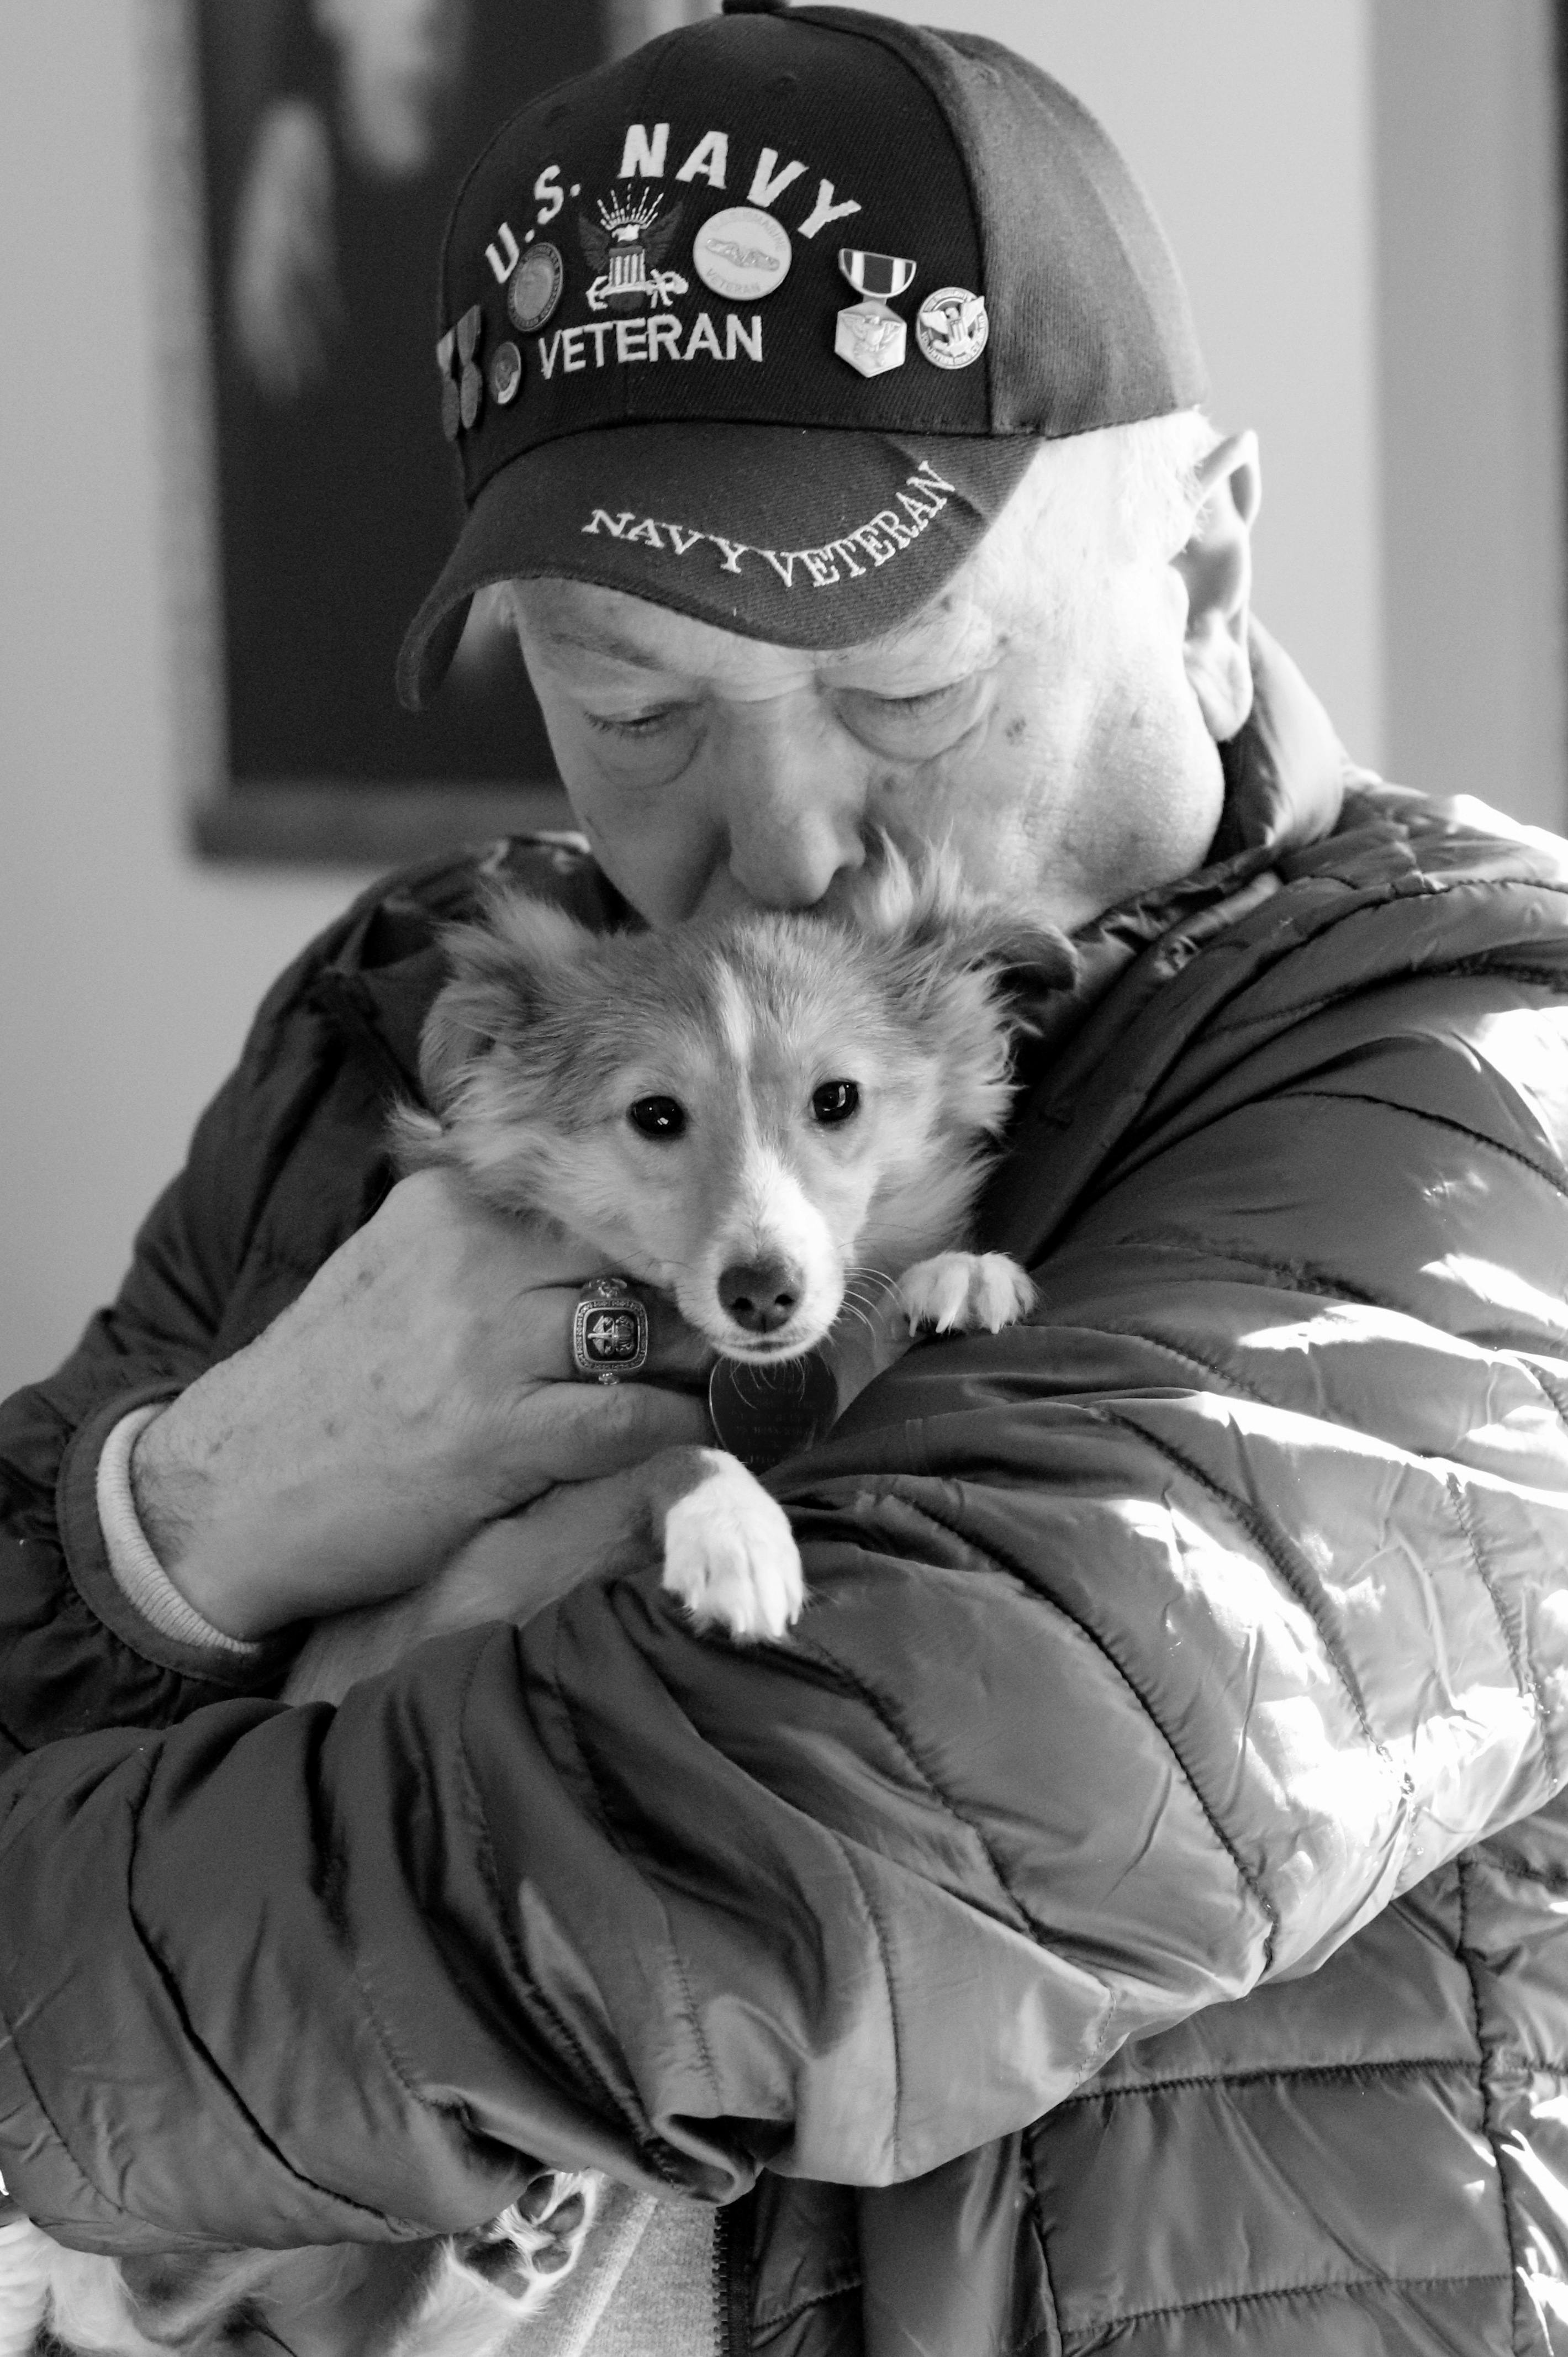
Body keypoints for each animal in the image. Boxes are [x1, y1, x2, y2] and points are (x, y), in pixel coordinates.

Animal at [3, 848, 1075, 2357]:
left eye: (838, 1099)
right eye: (656, 1116)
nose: (763, 1290)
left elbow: (858, 1349)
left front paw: (955, 1274)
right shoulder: (491, 1566)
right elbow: (669, 1463)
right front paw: (733, 1530)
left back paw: (520, 2226)